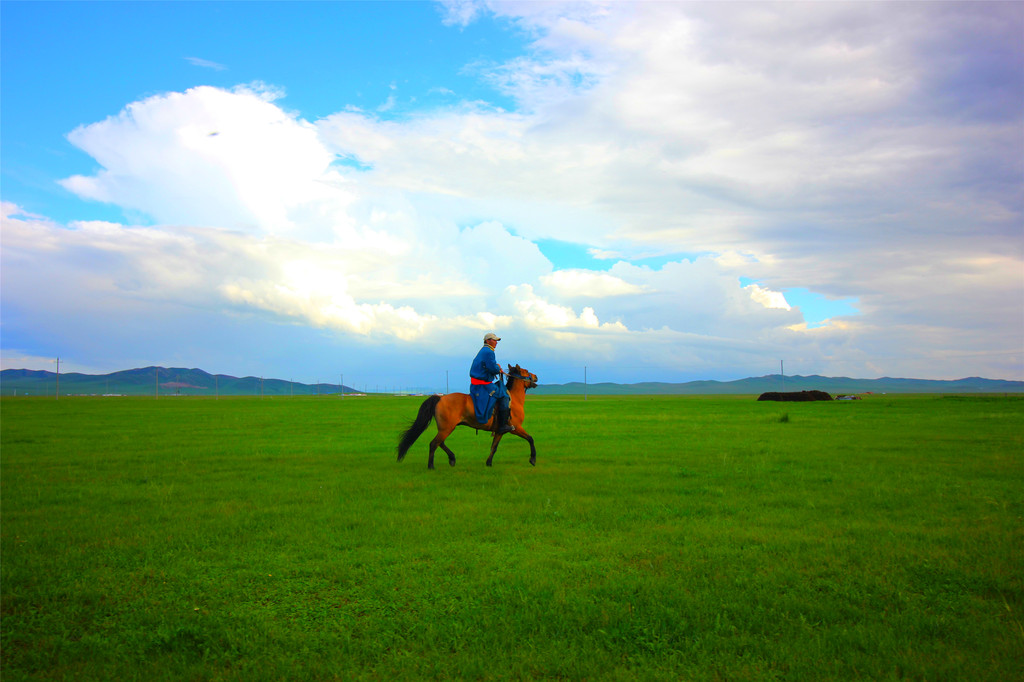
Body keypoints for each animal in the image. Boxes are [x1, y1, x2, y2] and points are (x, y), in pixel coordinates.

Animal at [395, 366, 540, 466]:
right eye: (526, 371)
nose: (536, 376)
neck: (513, 400)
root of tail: (440, 398)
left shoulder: (499, 431)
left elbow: (494, 447)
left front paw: (488, 463)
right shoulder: (516, 428)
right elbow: (531, 439)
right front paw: (532, 459)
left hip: (445, 428)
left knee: (440, 442)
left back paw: (452, 458)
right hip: (447, 428)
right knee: (434, 443)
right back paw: (431, 466)